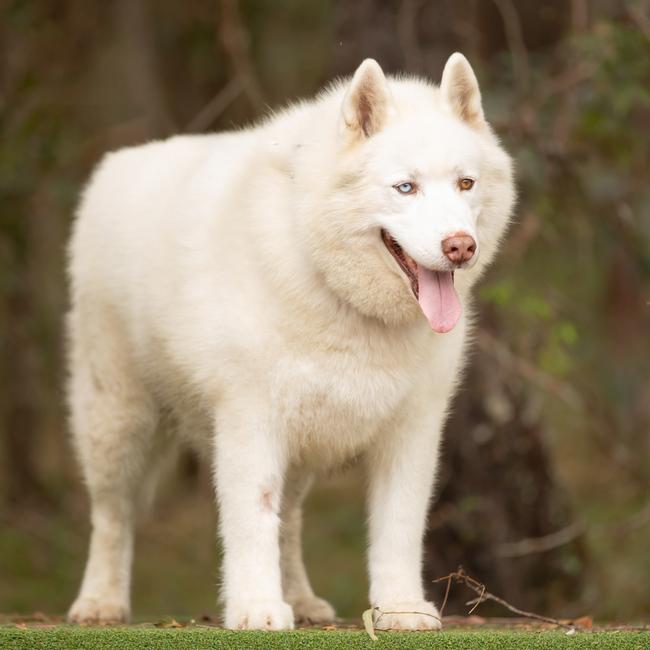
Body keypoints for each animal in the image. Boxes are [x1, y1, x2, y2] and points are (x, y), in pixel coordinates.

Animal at [66, 53, 512, 632]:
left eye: (465, 183)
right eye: (405, 187)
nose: (460, 247)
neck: (341, 297)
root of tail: (112, 167)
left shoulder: (412, 429)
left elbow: (397, 528)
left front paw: (399, 607)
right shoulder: (250, 420)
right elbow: (252, 520)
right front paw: (256, 607)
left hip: (301, 446)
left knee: (291, 521)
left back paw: (301, 600)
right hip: (118, 419)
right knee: (112, 514)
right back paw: (100, 601)